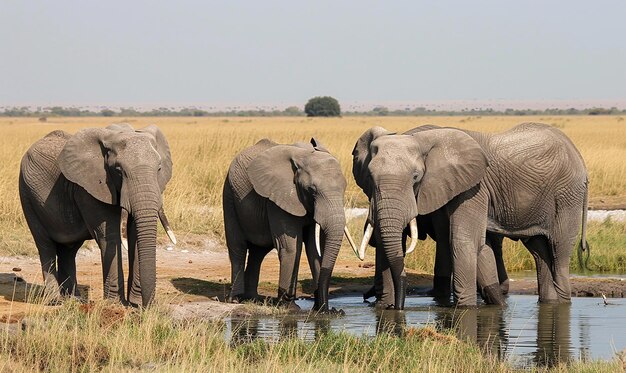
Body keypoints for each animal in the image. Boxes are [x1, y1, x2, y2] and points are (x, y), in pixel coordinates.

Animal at [19, 123, 174, 306]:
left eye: (159, 169)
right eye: (119, 171)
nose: (148, 305)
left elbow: (135, 236)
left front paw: (135, 303)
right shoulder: (89, 190)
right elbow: (111, 237)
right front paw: (115, 304)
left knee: (69, 249)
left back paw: (74, 299)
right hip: (27, 195)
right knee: (45, 245)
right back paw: (55, 301)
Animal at [223, 137, 356, 310]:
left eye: (344, 188)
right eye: (312, 190)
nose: (332, 308)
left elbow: (312, 249)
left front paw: (322, 310)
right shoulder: (277, 198)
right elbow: (291, 247)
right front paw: (289, 306)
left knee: (258, 252)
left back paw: (252, 299)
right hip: (230, 195)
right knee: (237, 247)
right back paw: (236, 299)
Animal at [354, 122, 588, 308]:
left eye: (415, 177)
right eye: (370, 177)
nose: (399, 307)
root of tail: (578, 155)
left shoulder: (473, 188)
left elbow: (461, 240)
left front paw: (465, 308)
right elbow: (479, 246)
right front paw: (385, 308)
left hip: (567, 195)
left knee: (559, 250)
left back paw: (562, 303)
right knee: (539, 250)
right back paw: (547, 301)